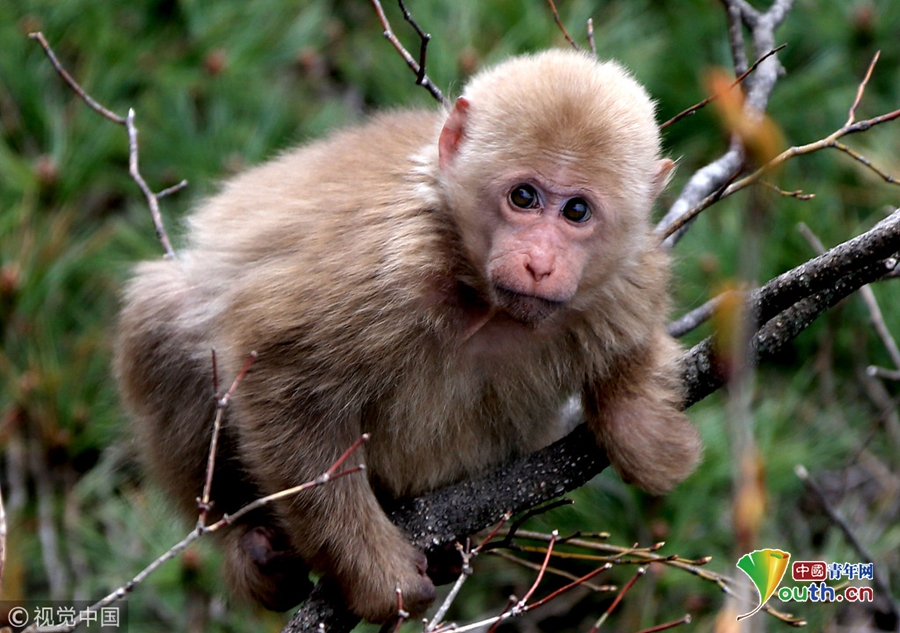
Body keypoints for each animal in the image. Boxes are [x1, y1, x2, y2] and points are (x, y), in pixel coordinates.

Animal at [114, 49, 704, 624]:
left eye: (576, 210)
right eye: (524, 197)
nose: (539, 262)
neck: (485, 304)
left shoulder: (626, 275)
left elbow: (634, 337)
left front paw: (639, 427)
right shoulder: (386, 265)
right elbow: (279, 372)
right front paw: (374, 575)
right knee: (163, 313)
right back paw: (249, 545)